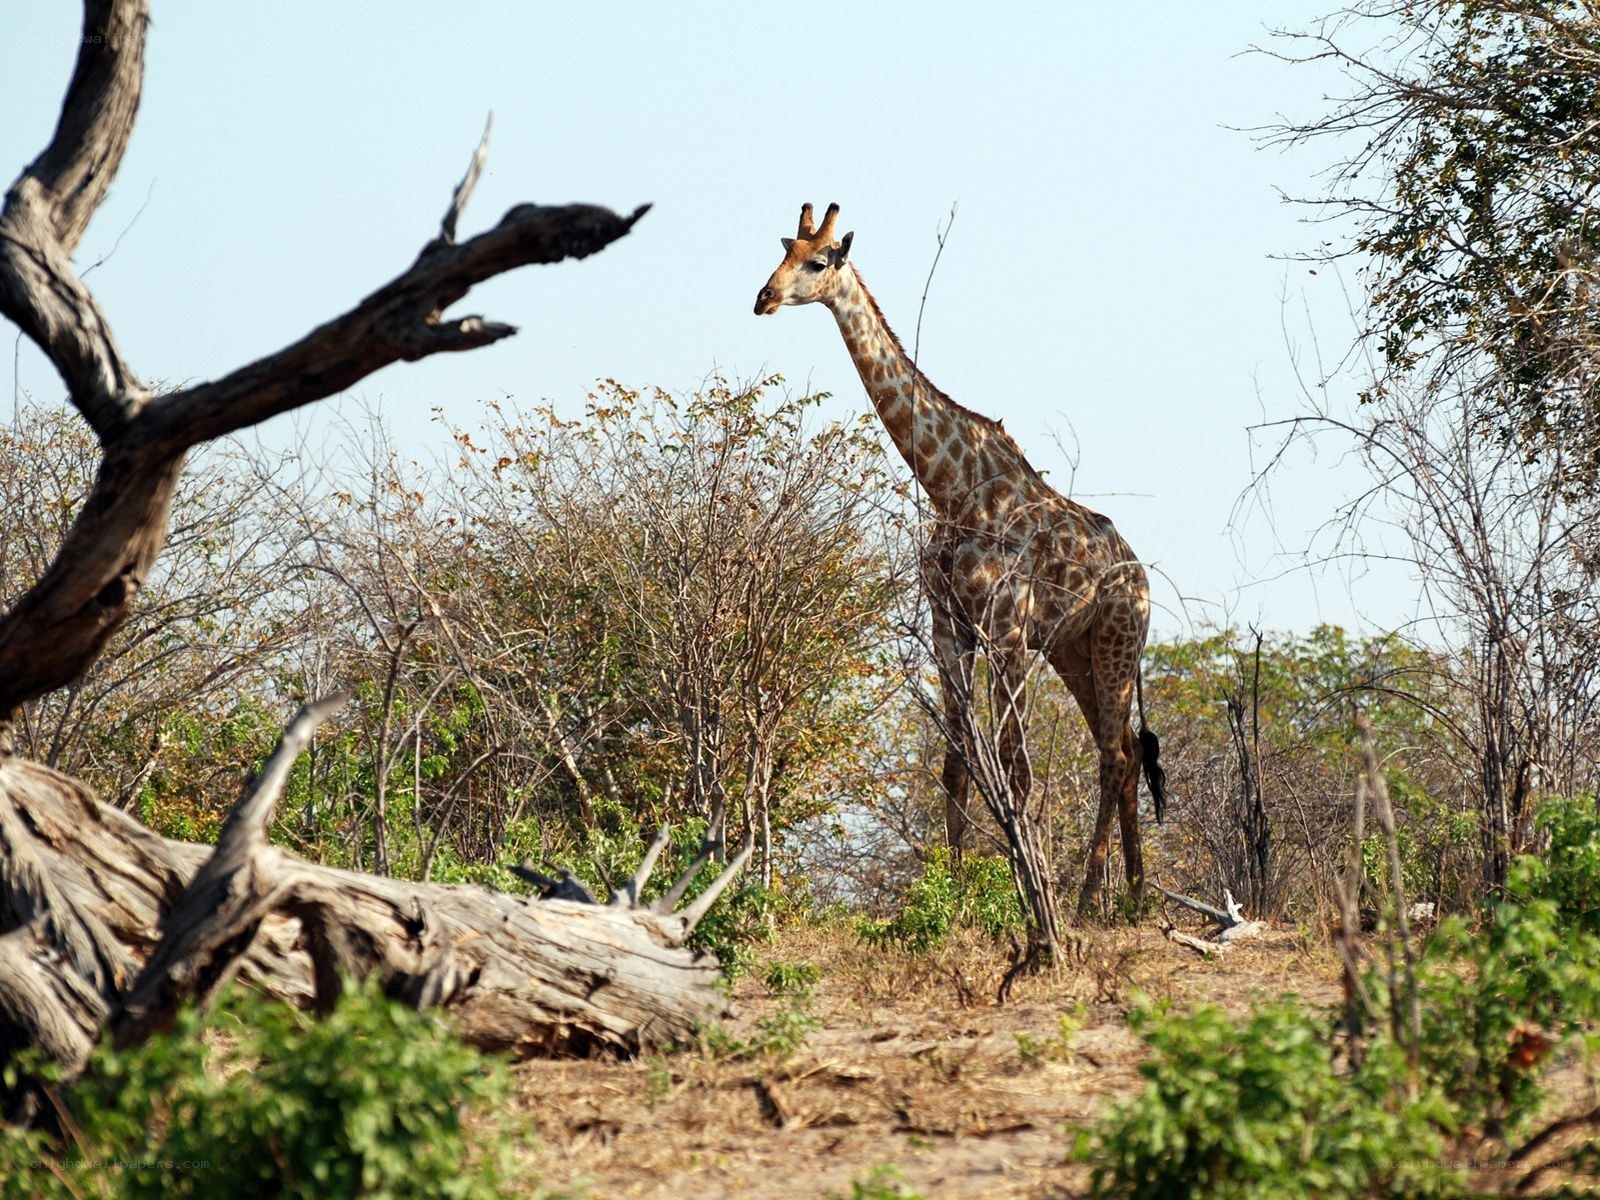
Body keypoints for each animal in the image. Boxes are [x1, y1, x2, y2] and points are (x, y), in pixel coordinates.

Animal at [754, 202, 1165, 913]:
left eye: (819, 261)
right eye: (781, 254)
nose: (763, 297)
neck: (949, 486)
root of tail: (1139, 576)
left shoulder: (1006, 632)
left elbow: (1015, 769)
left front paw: (1030, 893)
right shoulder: (950, 627)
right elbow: (954, 768)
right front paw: (953, 898)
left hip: (1116, 643)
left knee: (1114, 757)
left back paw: (1090, 900)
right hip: (1075, 652)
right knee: (1125, 753)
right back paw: (1135, 896)